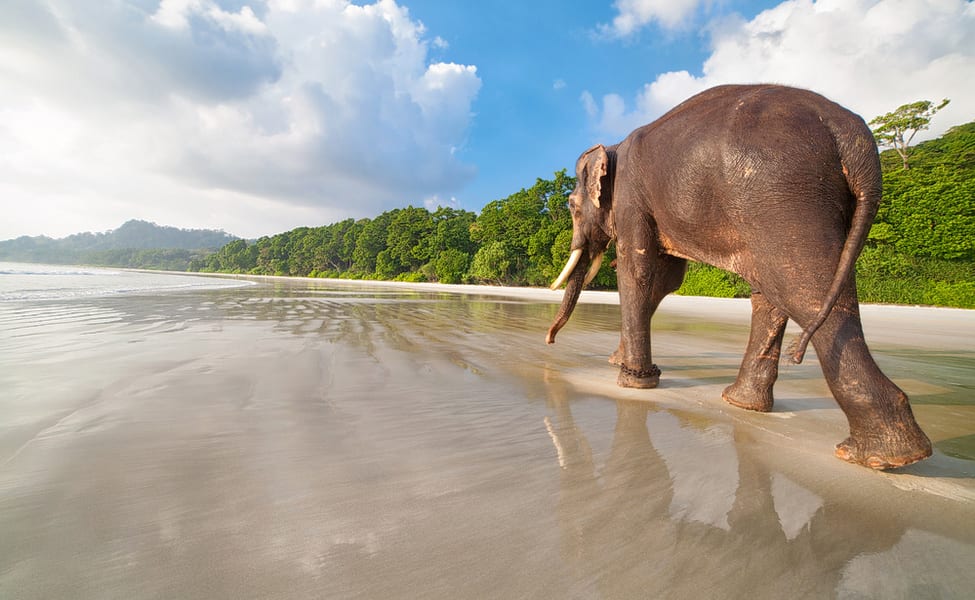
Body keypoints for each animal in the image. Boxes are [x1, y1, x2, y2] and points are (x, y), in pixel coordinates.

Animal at [546, 84, 932, 470]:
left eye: (570, 206)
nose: (549, 340)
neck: (612, 146)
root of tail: (852, 134)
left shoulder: (631, 199)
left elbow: (639, 270)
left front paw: (631, 381)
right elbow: (665, 280)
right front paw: (621, 363)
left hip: (779, 194)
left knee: (802, 289)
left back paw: (882, 457)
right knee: (781, 291)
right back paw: (744, 404)